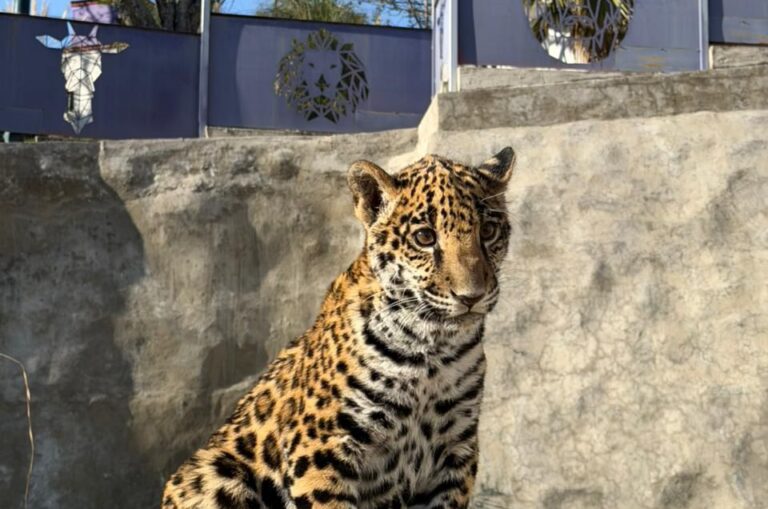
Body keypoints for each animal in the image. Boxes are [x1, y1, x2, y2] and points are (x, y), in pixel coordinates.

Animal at [161, 147, 517, 509]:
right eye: (424, 237)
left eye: (488, 231)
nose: (471, 296)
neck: (433, 350)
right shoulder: (322, 449)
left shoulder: (456, 449)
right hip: (213, 471)